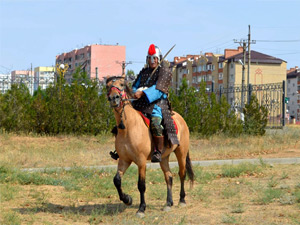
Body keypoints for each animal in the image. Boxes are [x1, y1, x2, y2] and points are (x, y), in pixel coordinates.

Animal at [105, 75, 195, 218]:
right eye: (108, 86)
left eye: (122, 84)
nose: (114, 98)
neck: (129, 127)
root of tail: (181, 119)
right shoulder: (124, 160)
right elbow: (117, 180)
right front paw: (127, 199)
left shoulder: (141, 162)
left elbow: (141, 185)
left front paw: (141, 209)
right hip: (164, 157)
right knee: (169, 176)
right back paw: (168, 203)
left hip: (181, 152)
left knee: (182, 174)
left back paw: (182, 200)